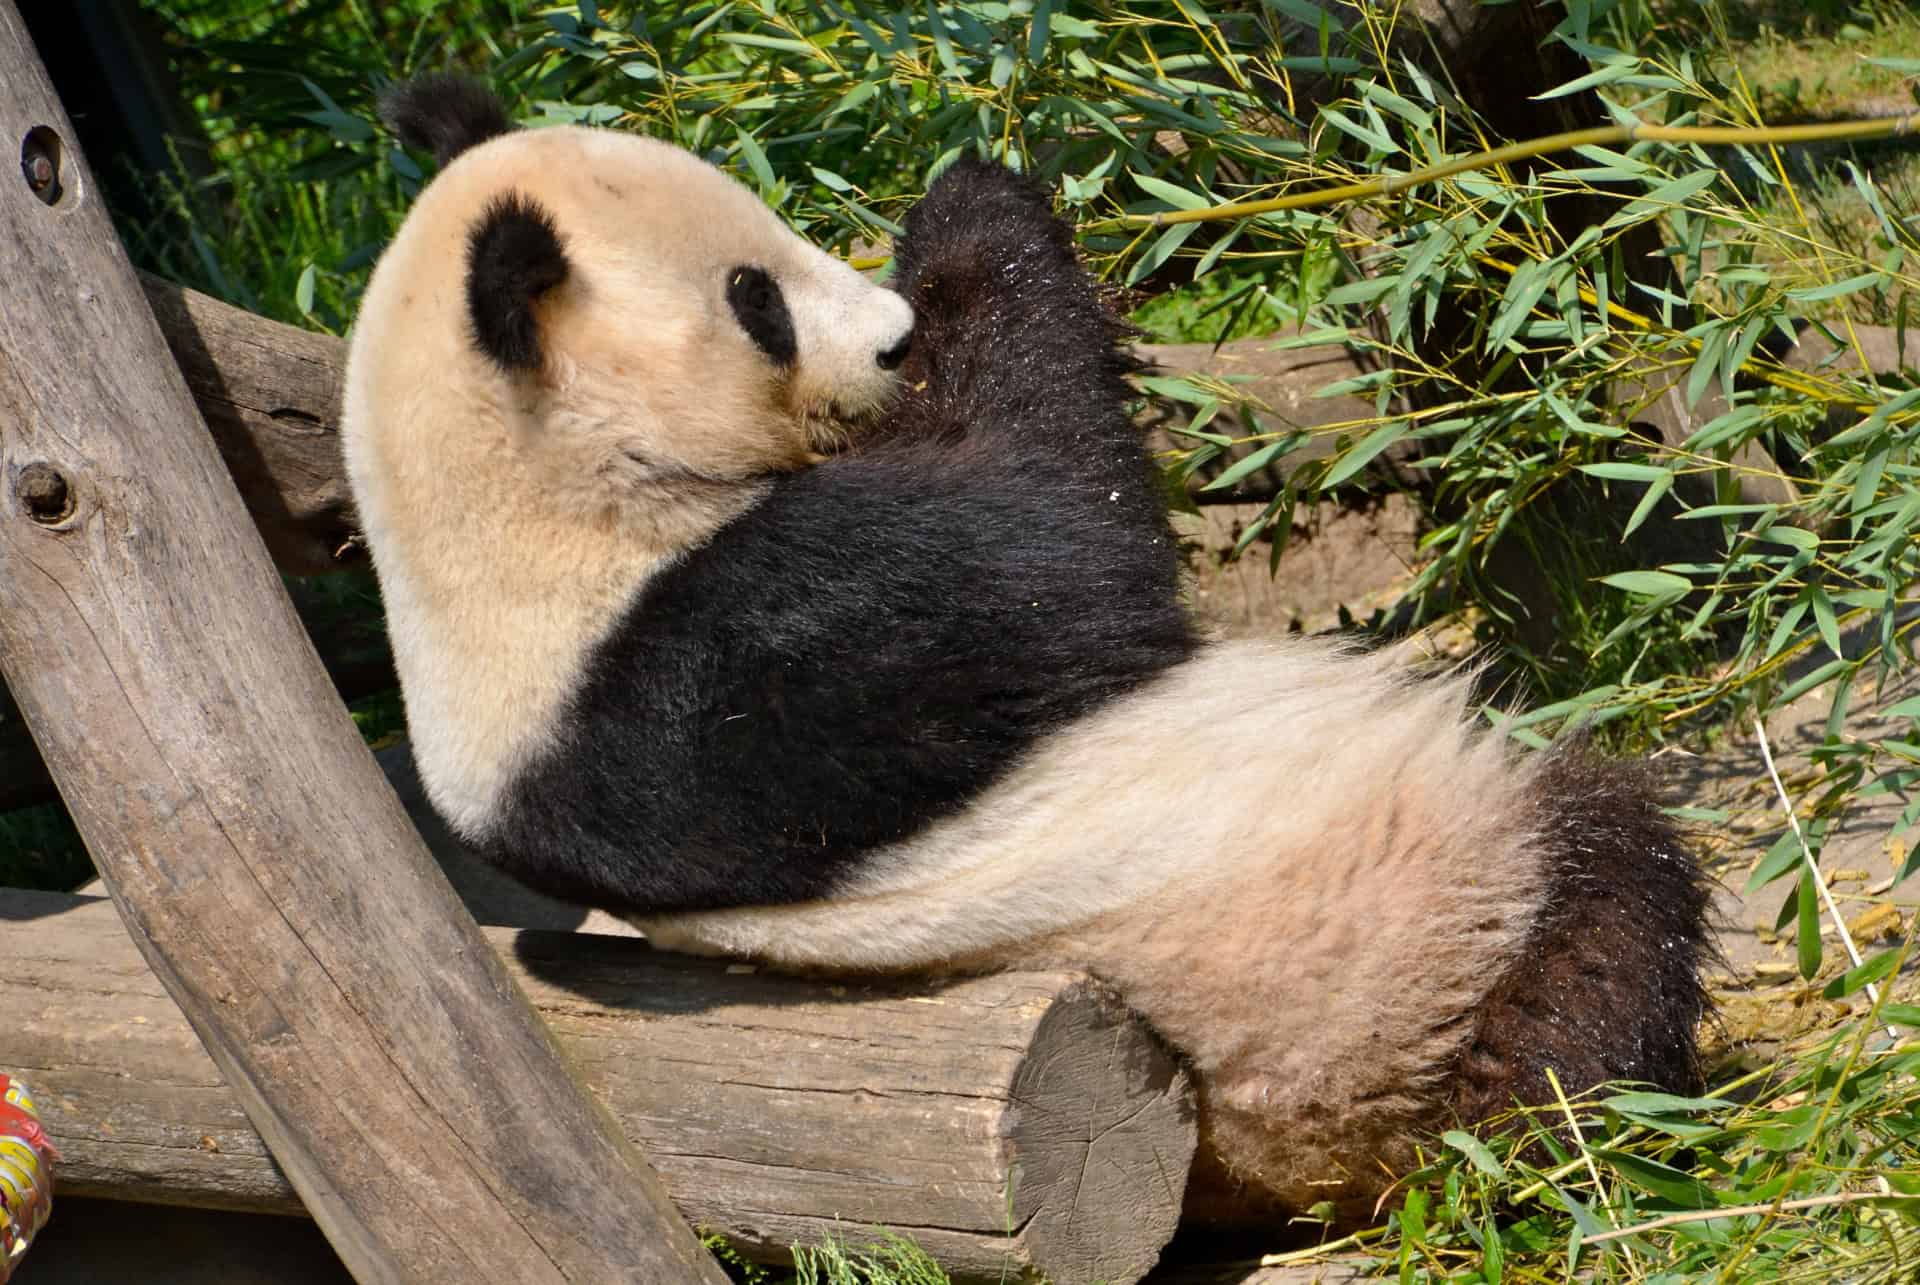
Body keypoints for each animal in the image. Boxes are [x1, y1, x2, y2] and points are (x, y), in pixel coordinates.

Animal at [341, 77, 1712, 1221]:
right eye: (755, 298)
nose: (892, 337)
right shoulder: (733, 657)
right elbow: (1060, 533)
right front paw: (974, 202)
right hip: (1395, 949)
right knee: (1605, 910)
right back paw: (1597, 1126)